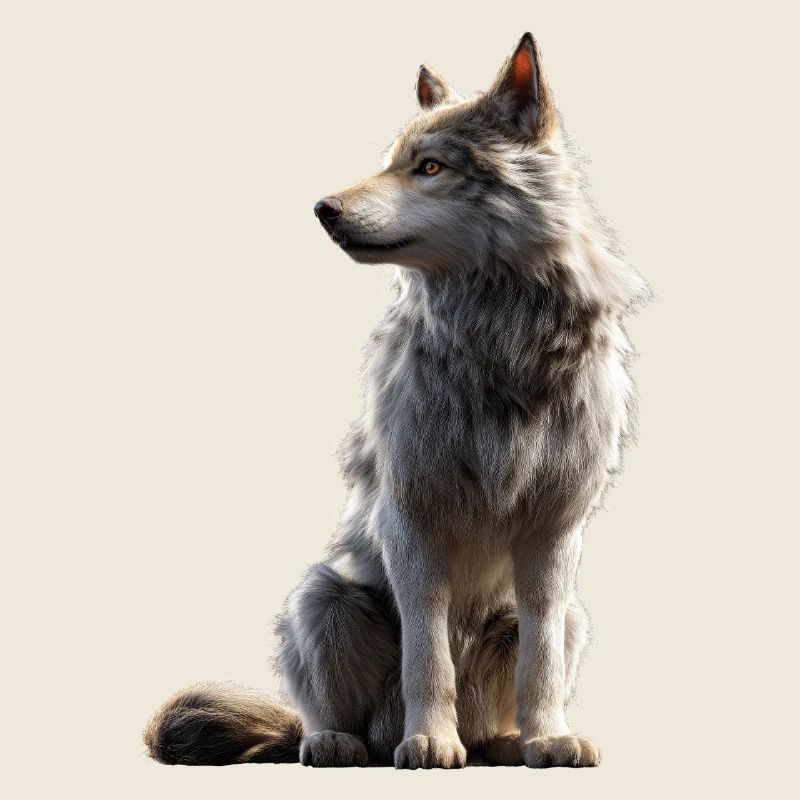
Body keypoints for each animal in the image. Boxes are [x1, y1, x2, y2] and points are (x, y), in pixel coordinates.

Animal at [144, 33, 646, 769]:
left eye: (429, 167)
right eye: (390, 163)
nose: (323, 209)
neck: (499, 342)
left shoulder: (555, 533)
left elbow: (542, 663)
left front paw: (549, 739)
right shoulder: (410, 519)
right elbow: (426, 653)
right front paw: (429, 741)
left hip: (567, 616)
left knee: (513, 690)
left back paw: (502, 744)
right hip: (324, 598)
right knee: (323, 716)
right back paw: (342, 742)